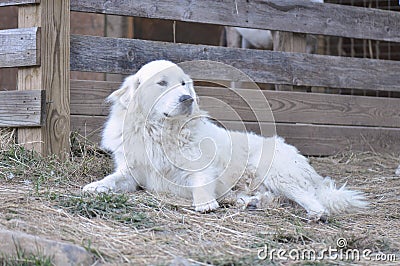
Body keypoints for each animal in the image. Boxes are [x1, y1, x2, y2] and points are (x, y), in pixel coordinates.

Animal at [83, 61, 368, 221]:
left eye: (184, 84)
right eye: (161, 83)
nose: (188, 98)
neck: (160, 132)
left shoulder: (199, 168)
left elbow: (200, 181)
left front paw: (205, 203)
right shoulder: (132, 173)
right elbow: (112, 179)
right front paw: (95, 187)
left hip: (278, 174)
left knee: (313, 200)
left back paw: (315, 214)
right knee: (270, 198)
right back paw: (249, 202)